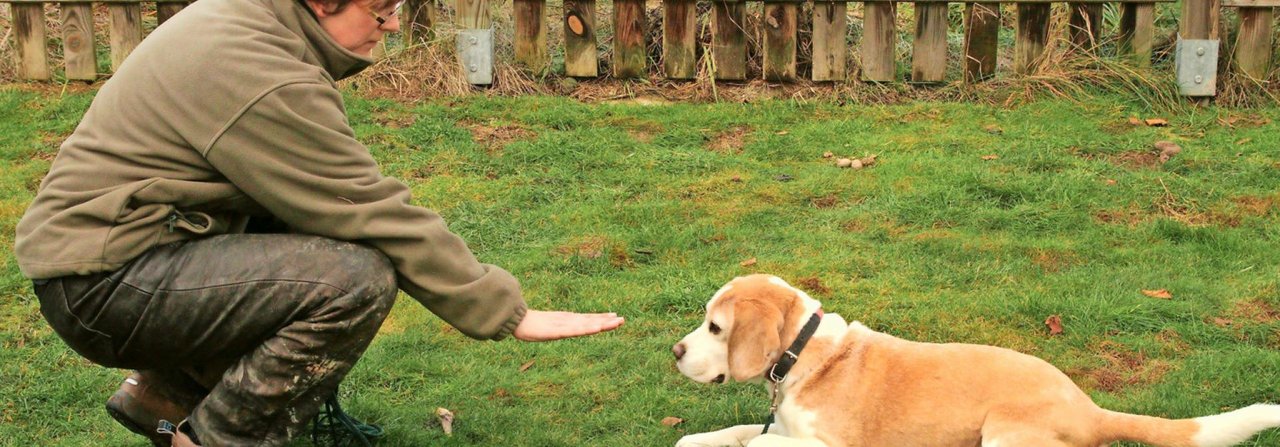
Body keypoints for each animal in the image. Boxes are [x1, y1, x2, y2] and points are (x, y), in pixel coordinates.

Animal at [670, 272, 1280, 443]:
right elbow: (722, 436)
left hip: (1003, 437)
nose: (674, 352)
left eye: (715, 327)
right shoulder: (779, 425)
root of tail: (1089, 409)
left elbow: (759, 444)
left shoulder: (826, 445)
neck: (806, 354)